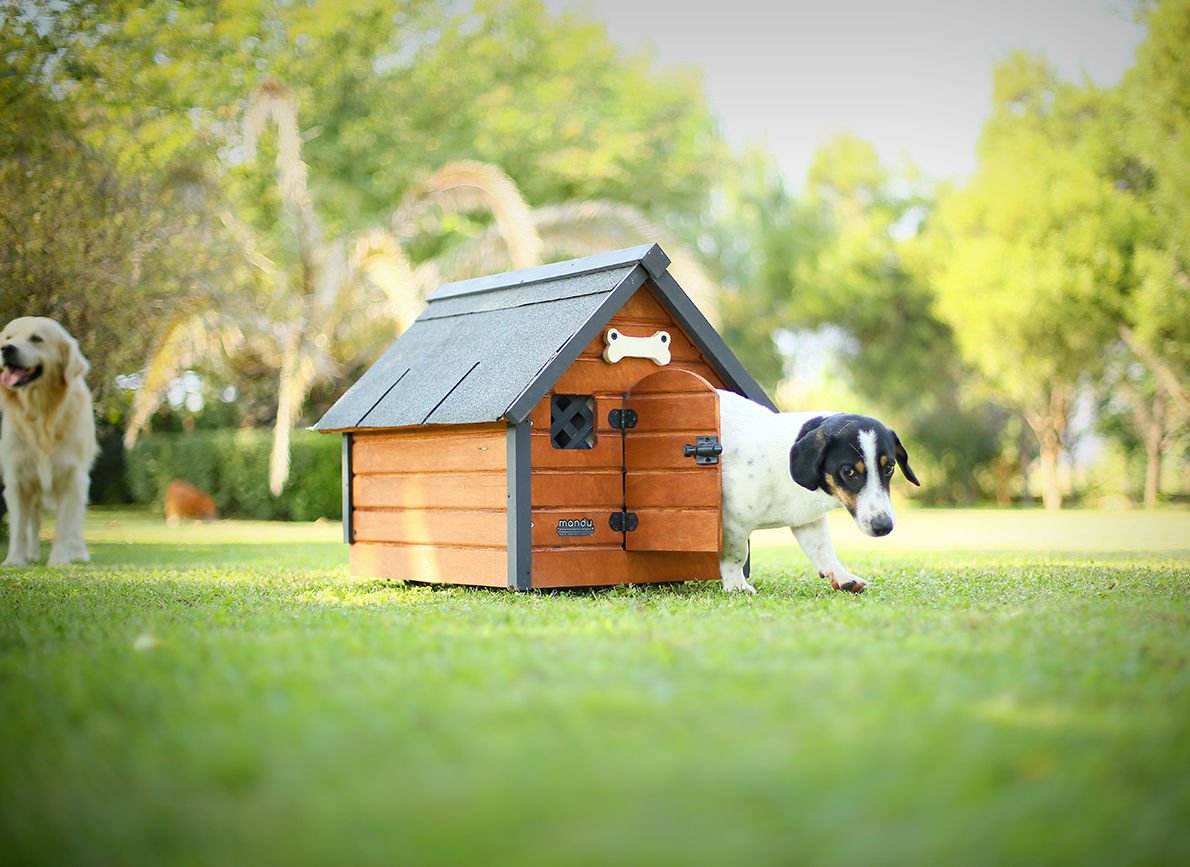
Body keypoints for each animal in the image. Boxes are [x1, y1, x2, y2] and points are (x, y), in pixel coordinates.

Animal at [714, 392, 918, 594]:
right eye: (848, 471)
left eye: (889, 468)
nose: (884, 527)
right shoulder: (734, 523)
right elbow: (737, 555)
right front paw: (736, 585)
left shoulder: (809, 523)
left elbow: (823, 550)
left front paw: (843, 577)